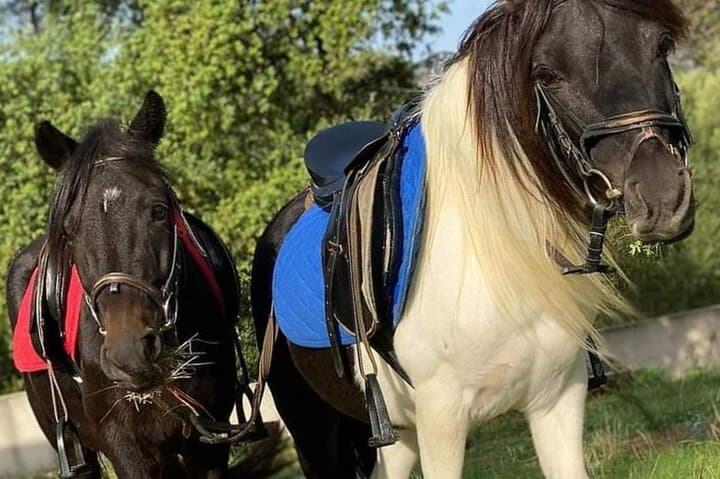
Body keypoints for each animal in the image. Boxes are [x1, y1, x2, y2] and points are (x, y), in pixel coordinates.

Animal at [251, 1, 696, 478]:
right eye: (547, 73)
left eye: (661, 45)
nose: (662, 195)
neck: (493, 253)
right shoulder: (441, 419)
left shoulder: (559, 399)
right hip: (316, 433)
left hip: (397, 436)